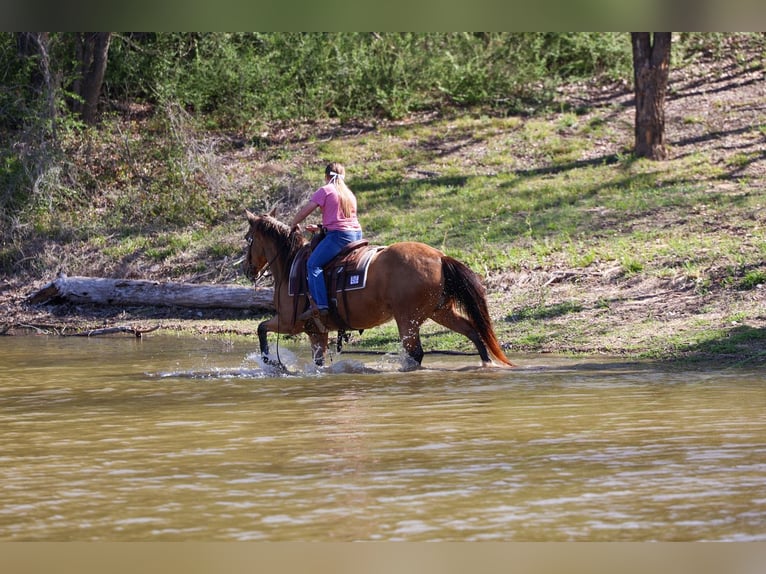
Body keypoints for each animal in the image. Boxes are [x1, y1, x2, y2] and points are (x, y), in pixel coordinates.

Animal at [243, 208, 515, 370]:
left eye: (248, 239)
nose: (248, 270)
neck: (291, 265)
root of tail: (439, 256)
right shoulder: (316, 332)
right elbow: (318, 361)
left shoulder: (290, 322)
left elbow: (261, 329)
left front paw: (272, 363)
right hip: (440, 312)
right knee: (472, 331)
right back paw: (486, 363)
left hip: (408, 318)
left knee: (416, 352)